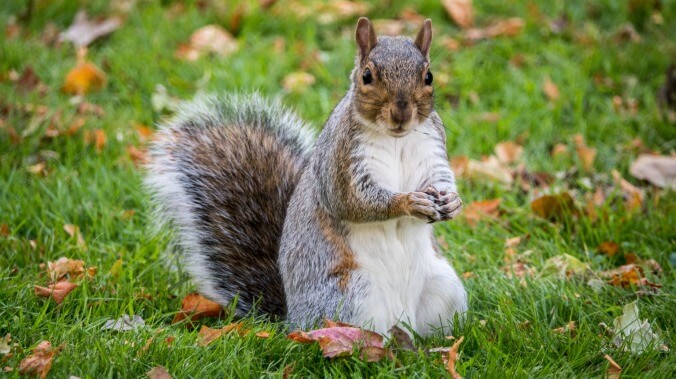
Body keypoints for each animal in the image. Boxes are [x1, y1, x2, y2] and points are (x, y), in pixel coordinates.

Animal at [145, 17, 468, 336]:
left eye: (428, 77)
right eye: (367, 76)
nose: (402, 113)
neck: (396, 138)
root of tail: (292, 320)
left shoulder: (432, 149)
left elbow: (440, 177)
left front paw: (453, 203)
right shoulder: (340, 160)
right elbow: (351, 201)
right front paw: (409, 202)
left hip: (444, 287)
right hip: (351, 294)